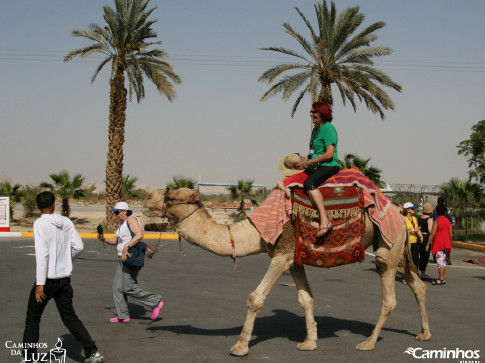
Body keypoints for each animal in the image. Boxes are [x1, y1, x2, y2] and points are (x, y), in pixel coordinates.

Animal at [145, 189, 432, 356]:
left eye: (173, 195)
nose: (148, 196)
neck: (258, 230)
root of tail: (402, 215)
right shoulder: (295, 261)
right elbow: (306, 299)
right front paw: (309, 342)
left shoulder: (281, 255)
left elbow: (255, 298)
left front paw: (240, 346)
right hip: (399, 247)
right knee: (416, 283)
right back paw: (424, 333)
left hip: (388, 245)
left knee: (389, 296)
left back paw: (369, 343)